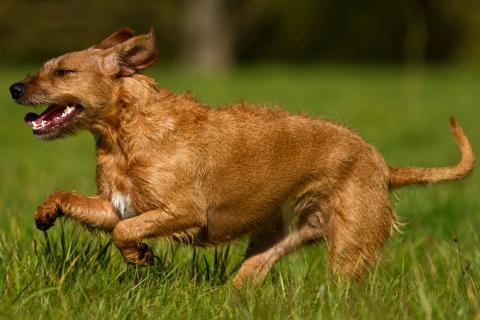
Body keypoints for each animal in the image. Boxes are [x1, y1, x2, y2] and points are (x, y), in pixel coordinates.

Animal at [9, 28, 474, 286]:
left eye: (63, 71)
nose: (13, 88)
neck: (125, 133)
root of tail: (384, 167)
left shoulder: (183, 211)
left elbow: (126, 233)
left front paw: (140, 256)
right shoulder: (116, 206)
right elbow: (78, 203)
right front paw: (47, 212)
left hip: (350, 248)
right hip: (276, 241)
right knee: (248, 278)